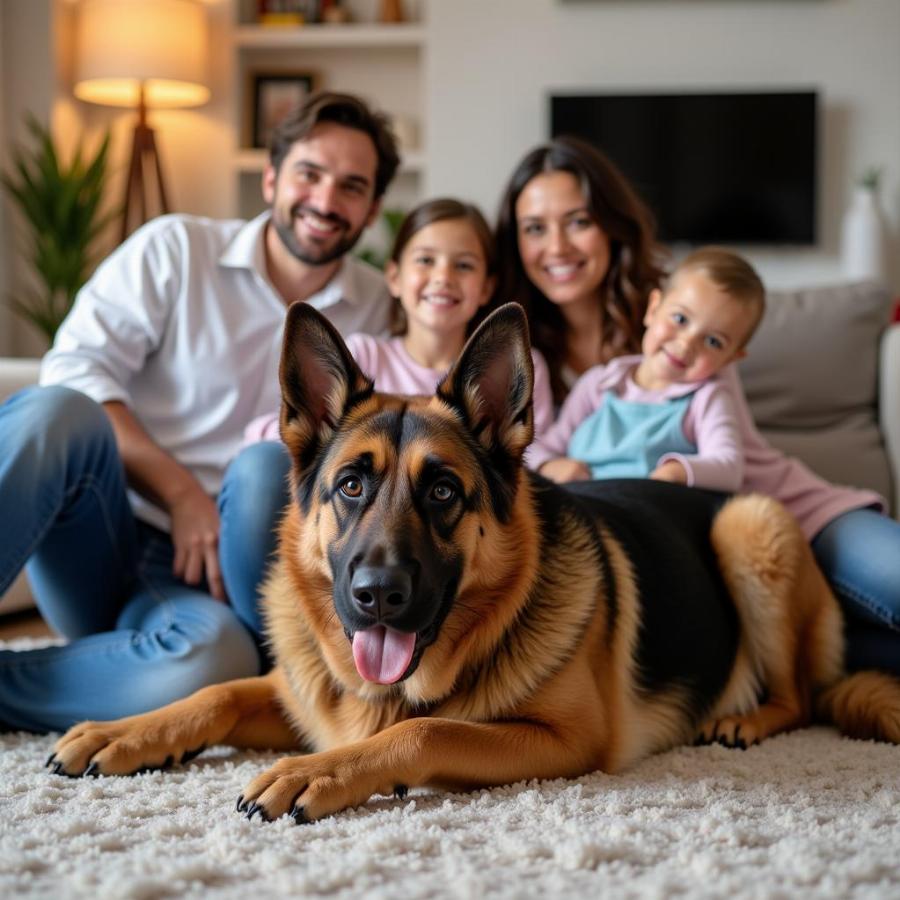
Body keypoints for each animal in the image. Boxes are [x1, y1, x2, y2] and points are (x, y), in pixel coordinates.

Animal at [51, 304, 900, 824]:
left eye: (443, 492)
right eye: (351, 485)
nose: (377, 596)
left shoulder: (565, 741)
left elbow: (426, 731)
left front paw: (317, 773)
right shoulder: (302, 695)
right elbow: (217, 691)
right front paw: (124, 732)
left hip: (749, 524)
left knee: (802, 695)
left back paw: (745, 718)